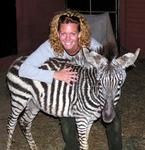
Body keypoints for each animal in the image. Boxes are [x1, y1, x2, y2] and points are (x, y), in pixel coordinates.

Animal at [6, 47, 140, 149]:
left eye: (119, 83)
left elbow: (85, 140)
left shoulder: (90, 119)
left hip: (33, 103)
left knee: (24, 122)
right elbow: (84, 145)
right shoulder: (81, 118)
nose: (107, 116)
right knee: (11, 124)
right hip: (19, 98)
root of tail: (19, 59)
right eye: (99, 83)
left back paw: (34, 147)